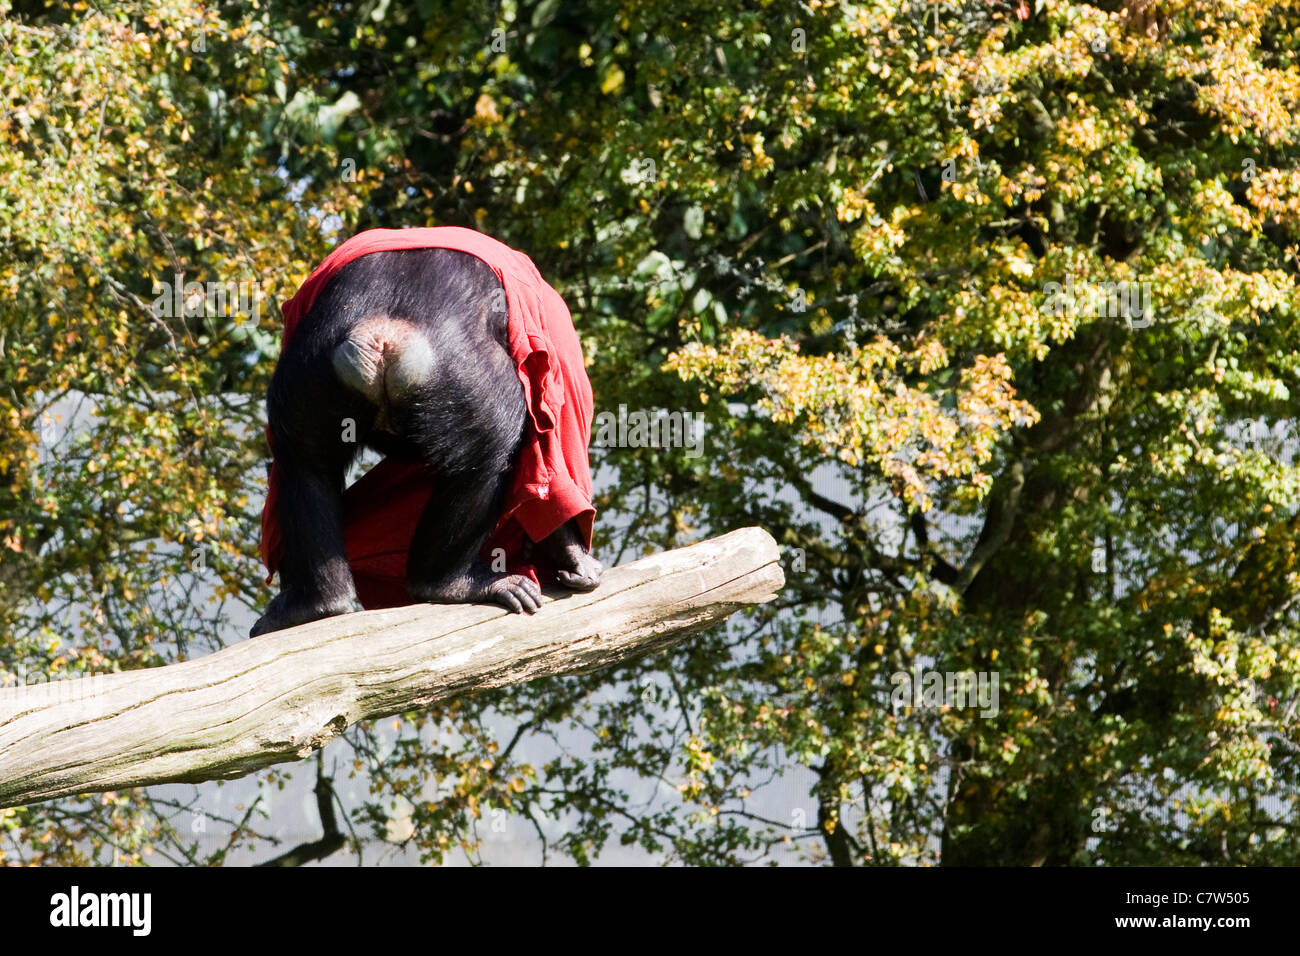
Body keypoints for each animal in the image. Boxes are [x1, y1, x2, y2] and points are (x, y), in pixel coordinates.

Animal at [249, 230, 603, 634]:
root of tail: (380, 337)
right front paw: (570, 551)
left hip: (308, 376)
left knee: (305, 463)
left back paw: (318, 603)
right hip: (466, 381)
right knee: (490, 449)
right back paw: (449, 582)